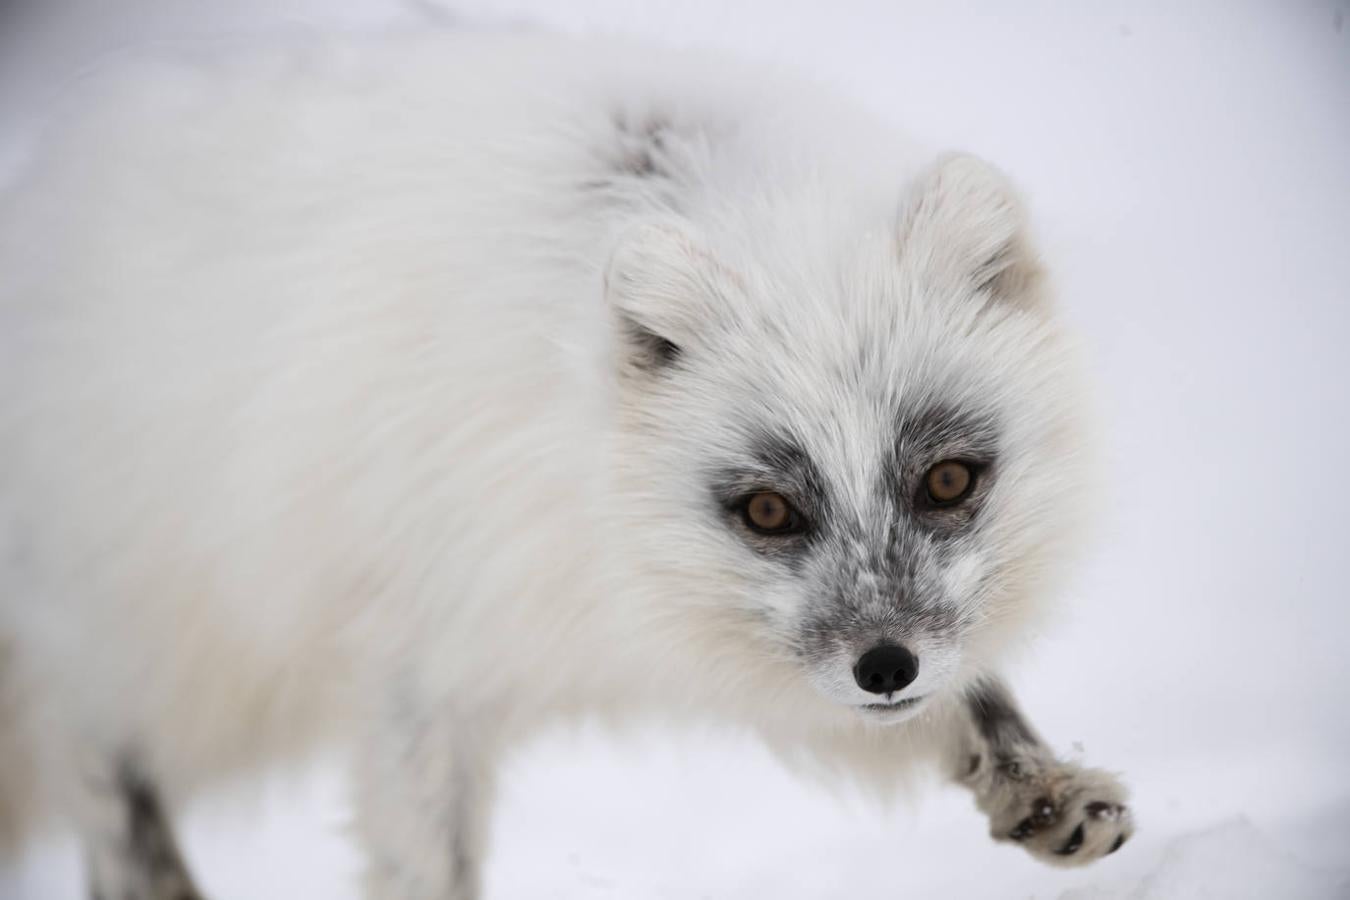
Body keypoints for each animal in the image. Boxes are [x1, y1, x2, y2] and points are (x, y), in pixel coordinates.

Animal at [0, 28, 1128, 900]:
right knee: (96, 765)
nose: (884, 667)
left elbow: (974, 697)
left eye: (948, 480)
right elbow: (422, 863)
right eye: (769, 511)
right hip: (145, 629)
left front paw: (1042, 792)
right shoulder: (414, 660)